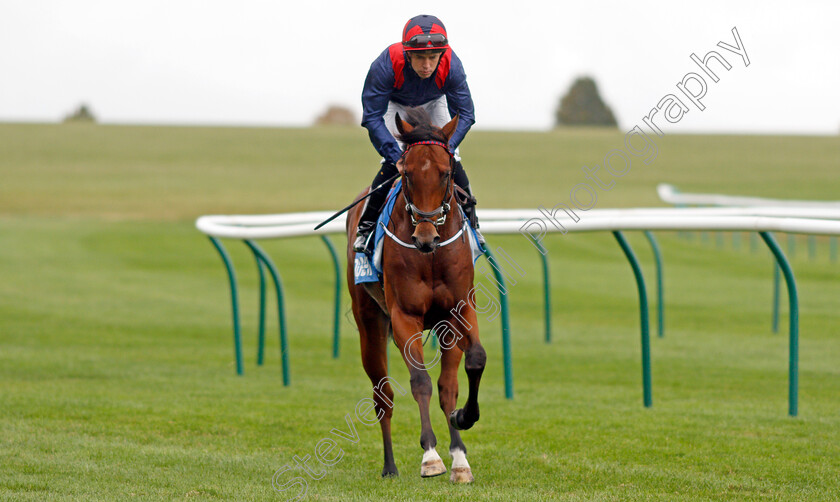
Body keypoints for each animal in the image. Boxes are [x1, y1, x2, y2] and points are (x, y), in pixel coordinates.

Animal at [344, 109, 486, 482]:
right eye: (406, 173)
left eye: (446, 173)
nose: (425, 238)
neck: (432, 257)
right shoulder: (404, 316)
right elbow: (419, 381)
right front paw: (430, 456)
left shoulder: (458, 312)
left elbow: (472, 363)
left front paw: (462, 426)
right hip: (370, 325)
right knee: (383, 397)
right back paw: (390, 466)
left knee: (447, 386)